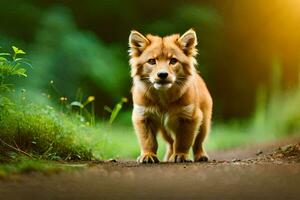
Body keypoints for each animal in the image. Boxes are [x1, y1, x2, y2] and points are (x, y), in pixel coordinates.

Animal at [129, 28, 213, 162]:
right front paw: (148, 155)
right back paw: (168, 157)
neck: (163, 96)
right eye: (152, 61)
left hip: (204, 122)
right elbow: (148, 140)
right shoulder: (142, 116)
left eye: (173, 61)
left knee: (198, 142)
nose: (162, 74)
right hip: (165, 130)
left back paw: (201, 156)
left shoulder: (190, 117)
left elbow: (184, 140)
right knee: (170, 143)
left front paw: (181, 155)